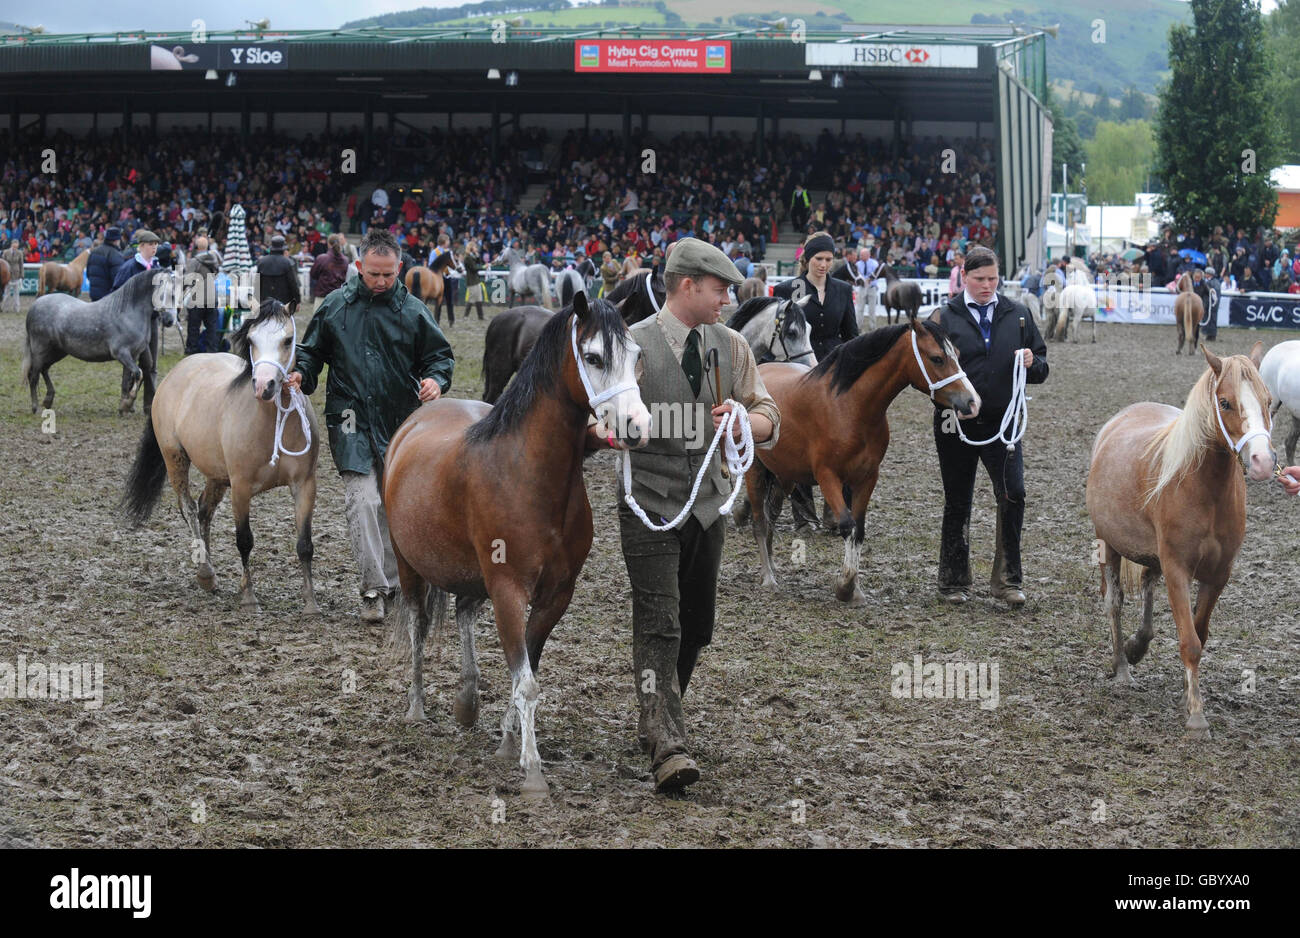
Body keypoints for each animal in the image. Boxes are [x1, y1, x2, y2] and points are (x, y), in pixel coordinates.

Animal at [22, 265, 178, 415]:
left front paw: (123, 407)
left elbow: (127, 381)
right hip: (40, 350)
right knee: (34, 376)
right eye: (166, 294)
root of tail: (35, 305)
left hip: (57, 351)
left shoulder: (132, 355)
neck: (128, 312)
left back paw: (48, 400)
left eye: (177, 295)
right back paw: (35, 407)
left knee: (44, 369)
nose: (170, 320)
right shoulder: (121, 353)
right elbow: (138, 374)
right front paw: (127, 404)